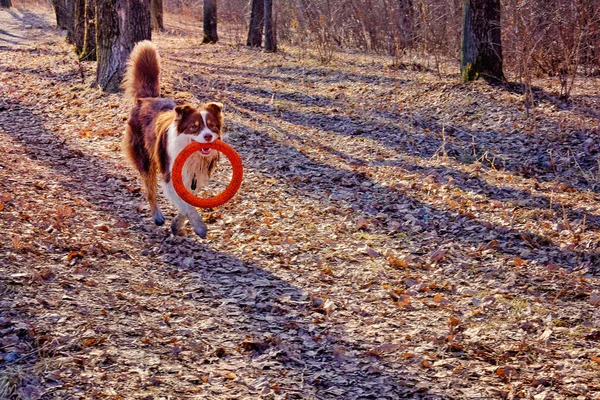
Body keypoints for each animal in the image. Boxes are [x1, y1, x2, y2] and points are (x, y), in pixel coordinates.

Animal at [122, 41, 223, 238]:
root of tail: (146, 98)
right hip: (145, 159)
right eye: (194, 126)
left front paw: (178, 224)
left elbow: (186, 204)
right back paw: (157, 216)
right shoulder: (169, 177)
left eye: (212, 125)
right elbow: (187, 206)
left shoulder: (192, 179)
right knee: (150, 191)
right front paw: (199, 226)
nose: (208, 136)